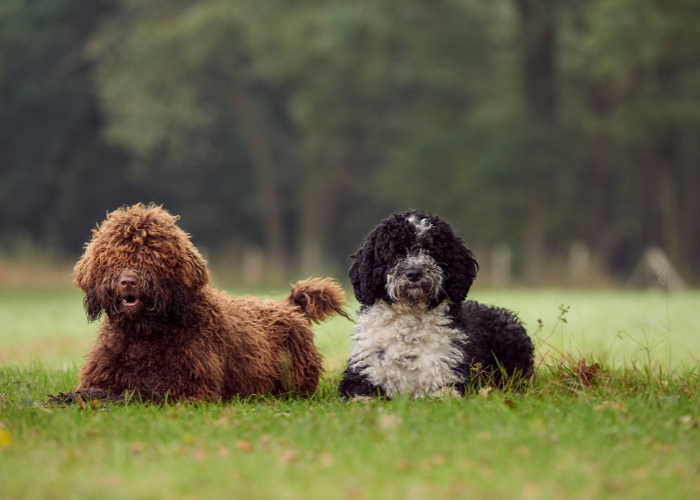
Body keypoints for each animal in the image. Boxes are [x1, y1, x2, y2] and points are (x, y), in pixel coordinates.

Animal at [73, 201, 348, 400]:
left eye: (153, 255)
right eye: (113, 255)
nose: (128, 282)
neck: (144, 336)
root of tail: (288, 306)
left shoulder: (192, 389)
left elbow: (142, 396)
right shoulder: (99, 377)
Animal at [342, 211, 532, 398]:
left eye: (431, 251)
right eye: (395, 252)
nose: (414, 273)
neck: (409, 331)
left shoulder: (449, 374)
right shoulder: (362, 373)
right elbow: (362, 398)